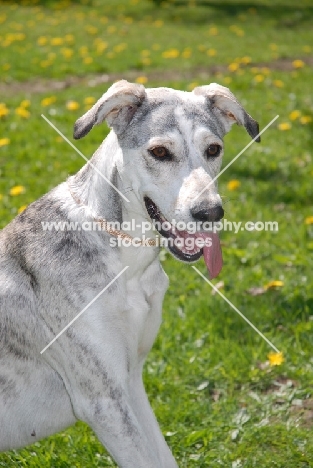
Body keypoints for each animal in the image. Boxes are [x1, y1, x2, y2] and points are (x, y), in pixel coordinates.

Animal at [0, 81, 258, 468]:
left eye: (213, 149)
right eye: (160, 152)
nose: (210, 213)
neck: (129, 265)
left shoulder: (131, 382)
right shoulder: (104, 402)